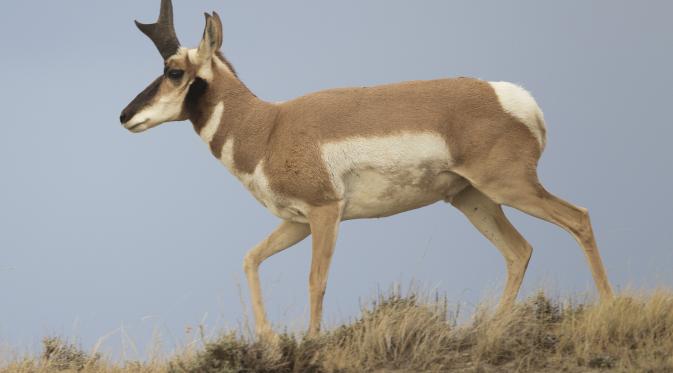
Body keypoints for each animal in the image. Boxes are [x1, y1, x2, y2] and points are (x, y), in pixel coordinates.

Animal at [121, 0, 616, 336]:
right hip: (472, 199)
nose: (124, 116)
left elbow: (316, 280)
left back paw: (610, 307)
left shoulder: (325, 214)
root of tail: (513, 97)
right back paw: (490, 330)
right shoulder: (296, 222)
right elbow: (250, 260)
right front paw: (269, 341)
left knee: (578, 218)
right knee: (518, 251)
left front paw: (310, 342)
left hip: (509, 187)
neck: (269, 126)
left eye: (173, 71)